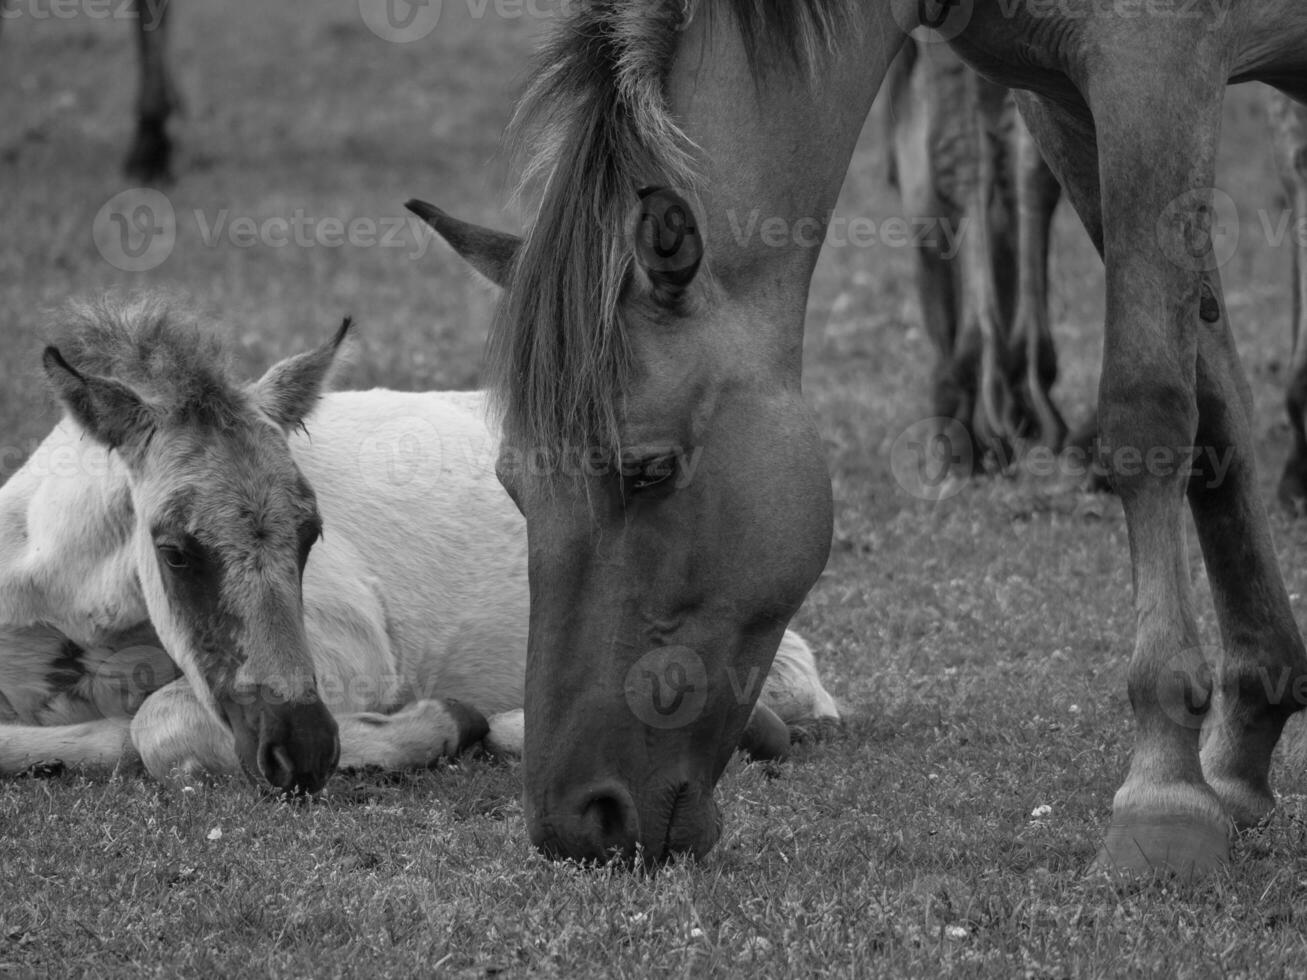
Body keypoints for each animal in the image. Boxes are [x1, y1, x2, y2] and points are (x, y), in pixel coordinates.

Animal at [0, 299, 836, 789]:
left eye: (312, 534)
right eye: (174, 549)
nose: (301, 747)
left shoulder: (357, 649)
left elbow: (159, 726)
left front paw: (438, 727)